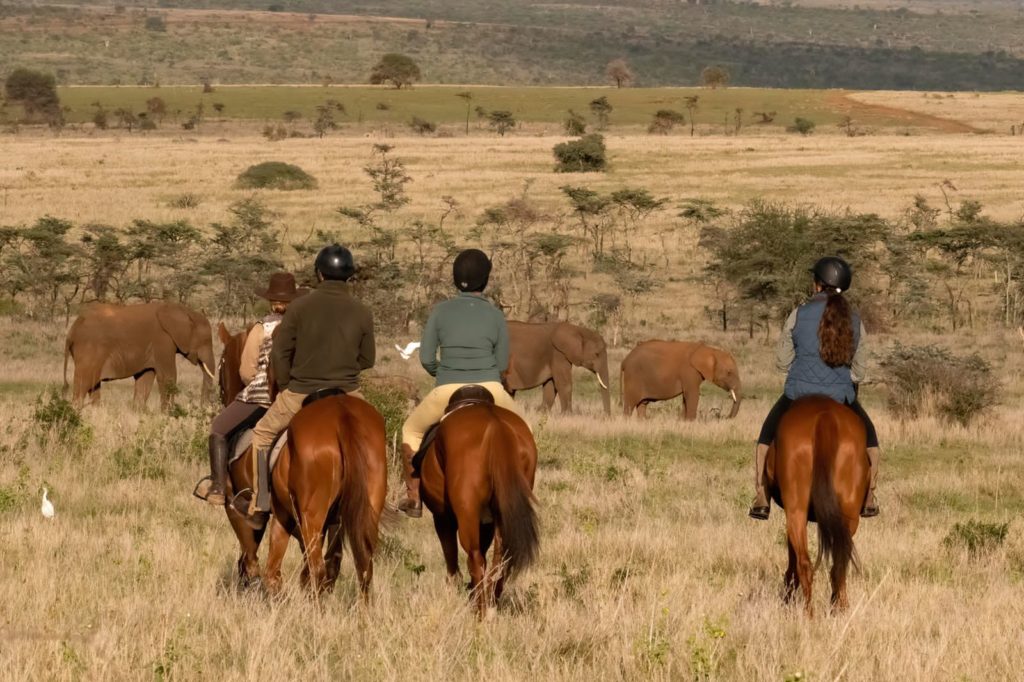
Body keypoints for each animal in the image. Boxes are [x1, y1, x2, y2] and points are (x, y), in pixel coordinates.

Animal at [64, 302, 216, 410]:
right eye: (206, 341)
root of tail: (72, 330)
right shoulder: (163, 342)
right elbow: (168, 377)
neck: (185, 311)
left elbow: (145, 378)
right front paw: (168, 414)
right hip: (89, 350)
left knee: (93, 386)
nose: (203, 408)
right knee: (82, 385)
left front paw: (138, 412)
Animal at [263, 395, 388, 599]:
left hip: (311, 519)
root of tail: (342, 414)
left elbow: (273, 571)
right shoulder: (335, 523)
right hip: (368, 513)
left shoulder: (283, 517)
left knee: (316, 570)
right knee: (363, 570)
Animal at [419, 388, 539, 617]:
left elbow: (450, 552)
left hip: (467, 514)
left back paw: (481, 610)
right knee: (501, 556)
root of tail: (495, 425)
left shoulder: (443, 517)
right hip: (503, 512)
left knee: (475, 558)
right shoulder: (487, 520)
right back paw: (491, 600)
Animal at [766, 395, 869, 615]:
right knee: (838, 561)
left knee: (805, 562)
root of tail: (824, 416)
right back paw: (837, 608)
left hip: (796, 511)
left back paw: (809, 613)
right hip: (847, 513)